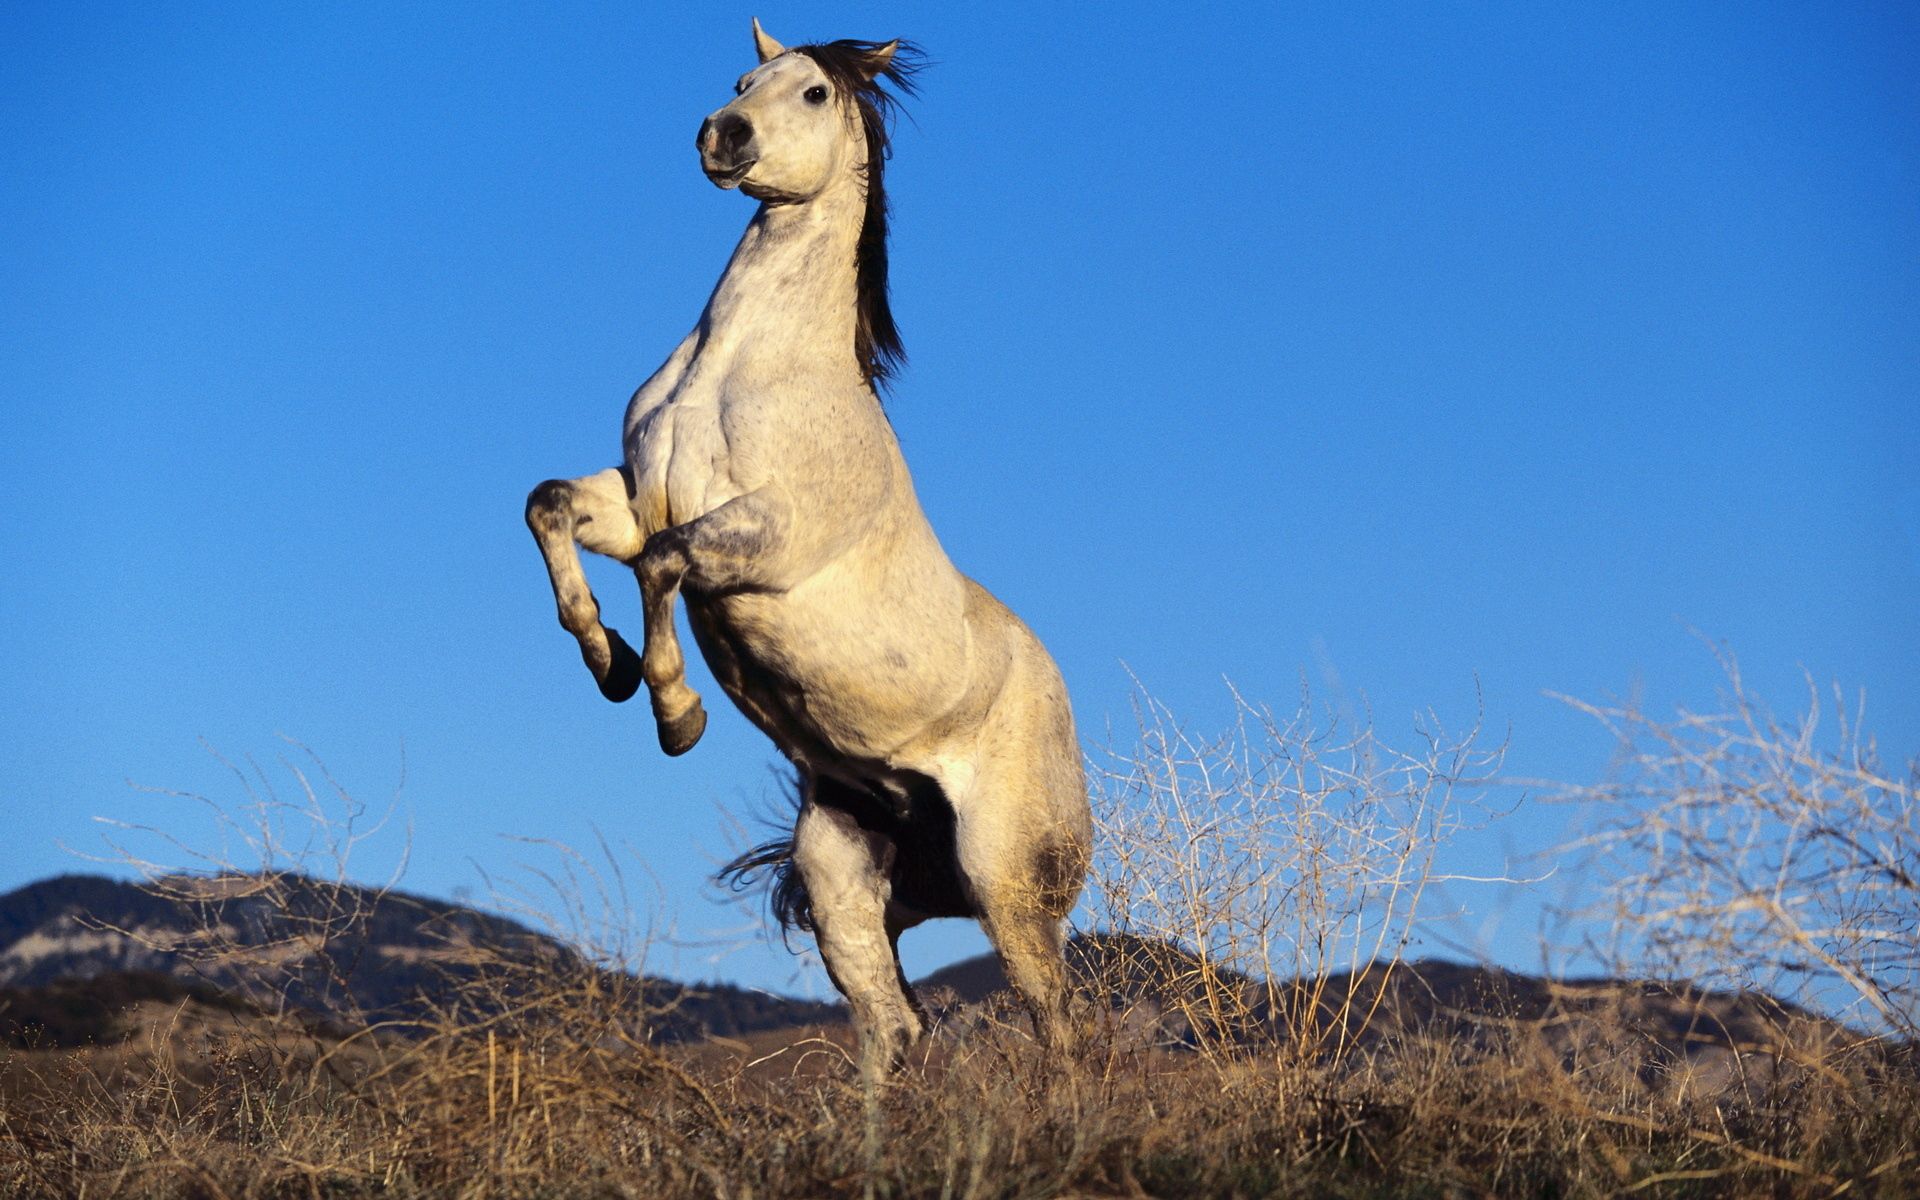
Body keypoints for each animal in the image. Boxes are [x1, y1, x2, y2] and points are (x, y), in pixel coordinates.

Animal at [526, 18, 1098, 1075]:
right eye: (742, 78)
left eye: (815, 94)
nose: (723, 136)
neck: (740, 365)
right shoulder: (632, 499)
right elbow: (552, 508)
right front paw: (607, 662)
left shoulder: (767, 540)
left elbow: (667, 562)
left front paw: (675, 713)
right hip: (842, 875)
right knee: (893, 1027)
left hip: (1009, 889)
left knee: (1061, 1032)